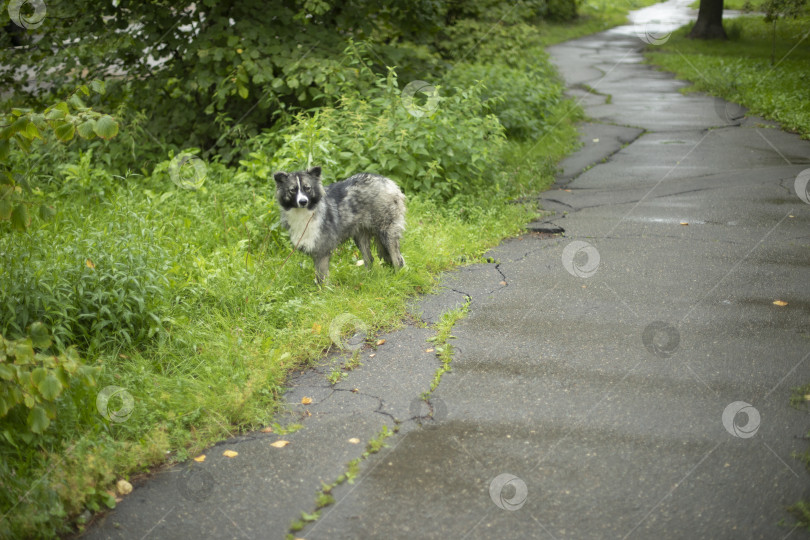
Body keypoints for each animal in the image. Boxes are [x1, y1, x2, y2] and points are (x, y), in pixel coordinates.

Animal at [274, 166, 408, 282]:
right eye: (292, 190)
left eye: (307, 188)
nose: (303, 201)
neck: (306, 212)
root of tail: (388, 182)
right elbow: (318, 277)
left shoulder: (322, 251)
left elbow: (322, 278)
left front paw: (324, 293)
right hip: (360, 236)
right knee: (369, 259)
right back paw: (366, 279)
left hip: (387, 233)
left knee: (398, 259)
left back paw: (397, 278)